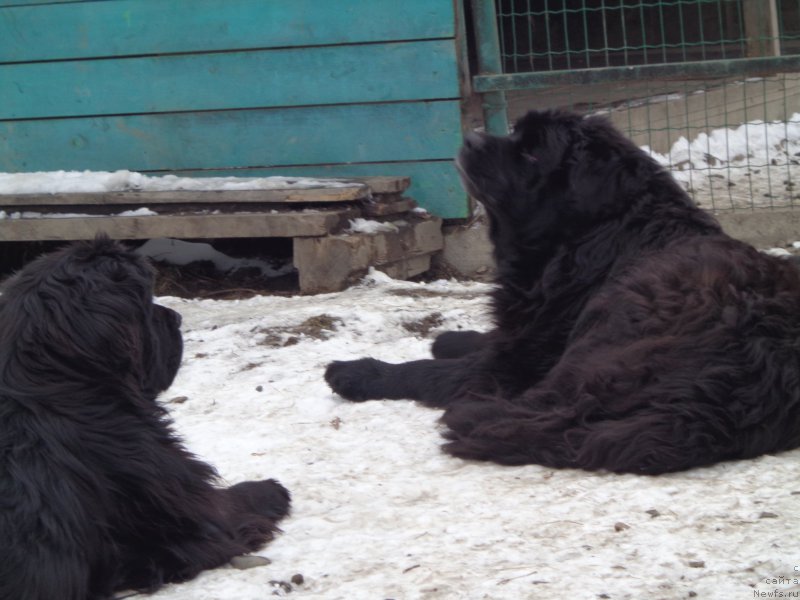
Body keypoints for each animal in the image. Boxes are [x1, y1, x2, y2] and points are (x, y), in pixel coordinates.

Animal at [0, 236, 290, 600]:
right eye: (146, 302)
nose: (176, 317)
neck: (57, 386)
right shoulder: (195, 511)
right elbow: (232, 500)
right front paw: (272, 489)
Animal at [324, 108, 800, 474]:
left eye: (533, 152)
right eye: (515, 133)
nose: (472, 137)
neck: (598, 231)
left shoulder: (510, 366)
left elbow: (429, 371)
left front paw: (360, 371)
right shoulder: (526, 331)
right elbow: (489, 337)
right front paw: (451, 338)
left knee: (552, 408)